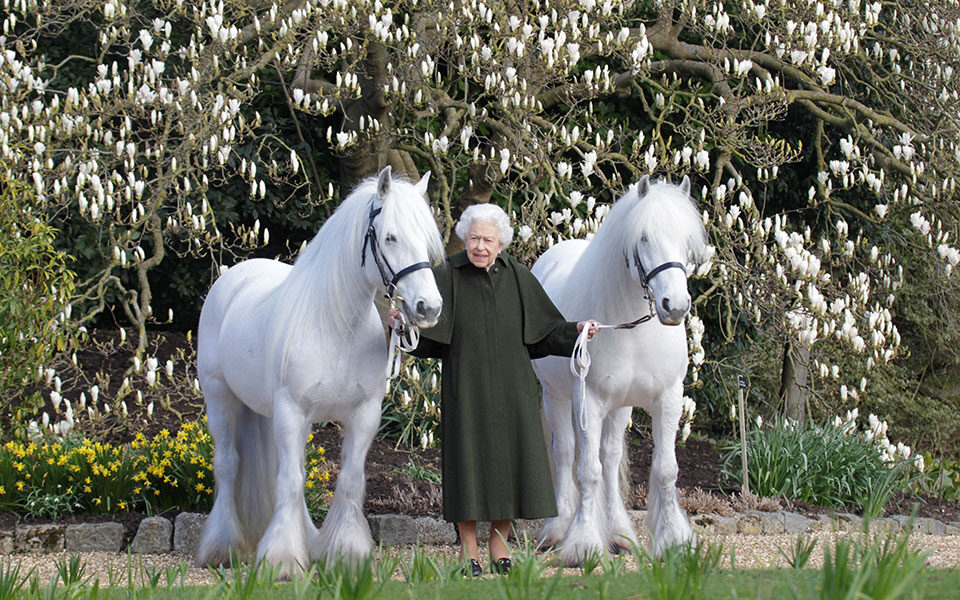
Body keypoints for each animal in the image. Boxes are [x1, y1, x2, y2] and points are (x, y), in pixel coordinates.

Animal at [196, 165, 450, 576]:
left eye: (428, 240)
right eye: (391, 236)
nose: (428, 307)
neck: (335, 326)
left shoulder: (363, 414)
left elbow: (348, 480)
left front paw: (346, 553)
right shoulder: (291, 411)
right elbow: (290, 481)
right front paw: (282, 560)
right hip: (220, 397)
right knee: (229, 465)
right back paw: (222, 547)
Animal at [528, 172, 708, 564]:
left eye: (687, 241)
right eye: (643, 238)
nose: (675, 306)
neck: (632, 328)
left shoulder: (668, 399)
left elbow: (665, 470)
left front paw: (673, 540)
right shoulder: (589, 402)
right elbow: (587, 471)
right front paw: (582, 544)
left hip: (620, 406)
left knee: (609, 459)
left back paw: (620, 533)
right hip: (556, 398)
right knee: (566, 452)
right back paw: (558, 528)